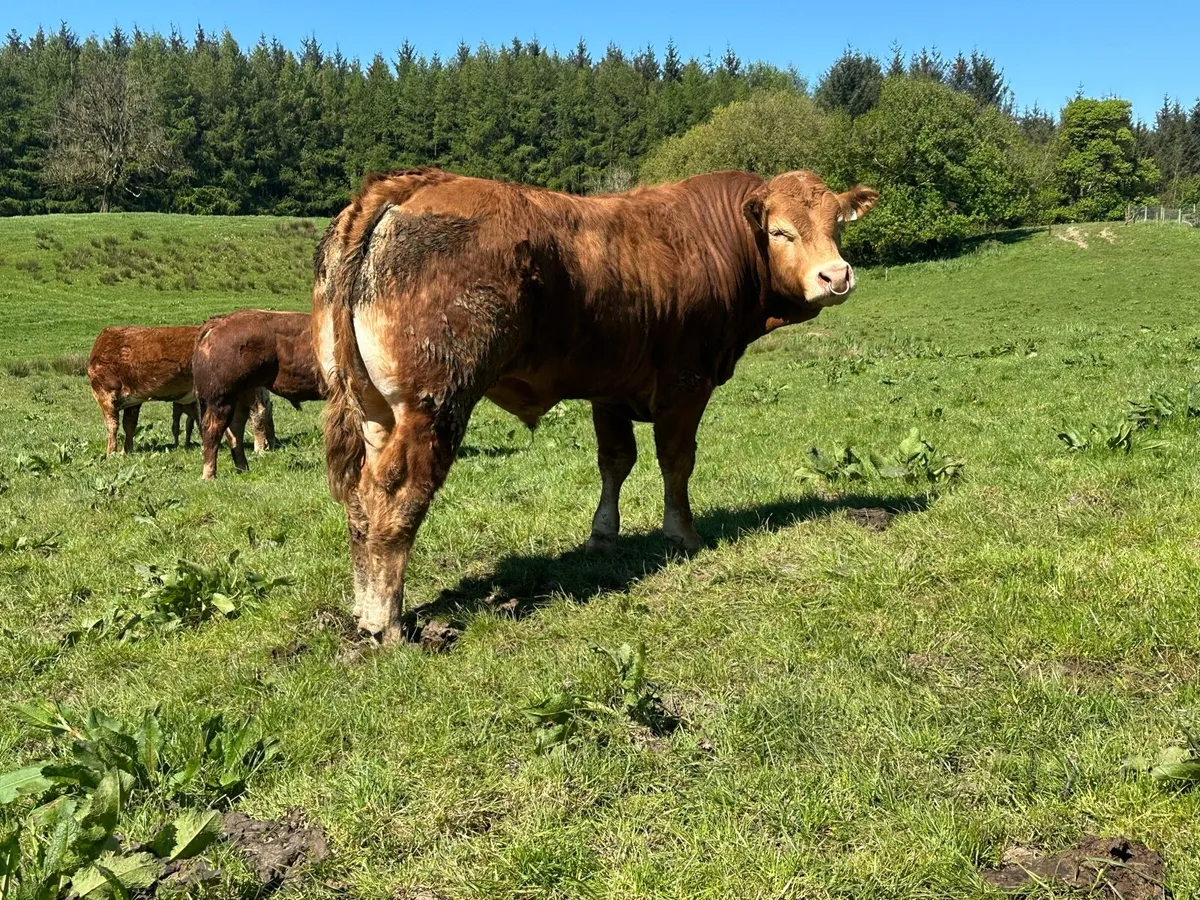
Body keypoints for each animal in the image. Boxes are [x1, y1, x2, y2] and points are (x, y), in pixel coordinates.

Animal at [88, 325, 274, 456]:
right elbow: (129, 425)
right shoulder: (134, 399)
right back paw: (269, 443)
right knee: (266, 409)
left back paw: (259, 449)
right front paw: (125, 451)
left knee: (258, 411)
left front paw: (111, 453)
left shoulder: (104, 392)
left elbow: (112, 425)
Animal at [192, 309, 325, 480]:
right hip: (221, 398)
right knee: (212, 430)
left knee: (235, 430)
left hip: (239, 397)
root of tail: (220, 321)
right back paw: (209, 476)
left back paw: (243, 468)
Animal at [313, 167, 878, 643]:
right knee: (394, 495)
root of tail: (410, 184)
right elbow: (677, 462)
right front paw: (683, 533)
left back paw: (363, 609)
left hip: (373, 412)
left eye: (836, 226)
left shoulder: (611, 389)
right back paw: (386, 625)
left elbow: (615, 461)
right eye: (781, 232)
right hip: (432, 404)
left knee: (360, 503)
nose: (836, 276)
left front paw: (603, 536)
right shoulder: (687, 383)